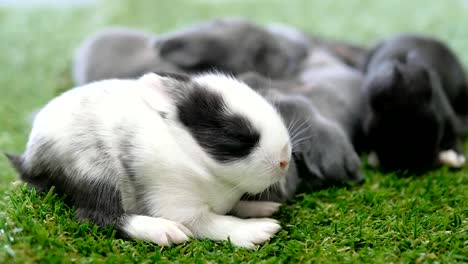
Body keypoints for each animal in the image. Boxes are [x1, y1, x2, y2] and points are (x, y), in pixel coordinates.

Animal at [6, 71, 292, 248]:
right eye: (236, 136)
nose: (284, 160)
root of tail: (30, 158)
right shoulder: (179, 205)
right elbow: (212, 223)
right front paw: (258, 230)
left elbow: (232, 207)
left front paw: (258, 209)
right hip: (96, 174)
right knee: (100, 216)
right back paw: (163, 231)